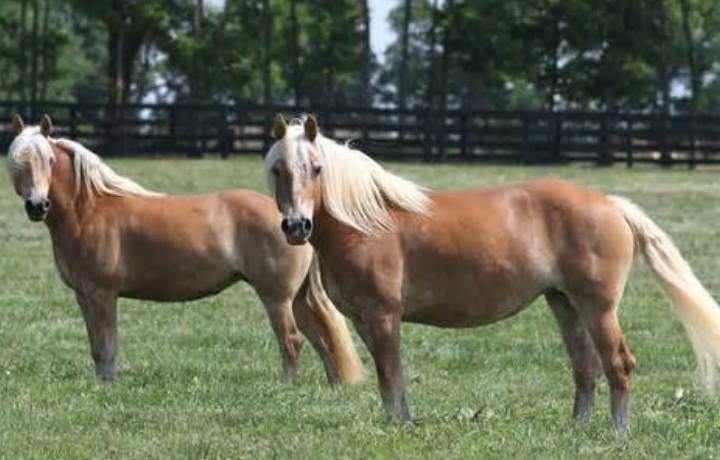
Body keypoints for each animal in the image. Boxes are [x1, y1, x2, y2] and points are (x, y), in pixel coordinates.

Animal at [6, 114, 364, 386]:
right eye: (17, 163)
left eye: (49, 160)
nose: (37, 205)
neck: (89, 210)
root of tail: (295, 219)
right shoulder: (84, 296)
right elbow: (97, 348)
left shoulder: (102, 295)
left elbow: (107, 348)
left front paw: (107, 388)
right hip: (298, 297)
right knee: (320, 337)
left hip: (277, 298)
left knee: (291, 340)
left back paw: (287, 387)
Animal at [264, 114, 720, 431]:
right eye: (277, 169)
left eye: (317, 168)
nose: (297, 226)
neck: (368, 221)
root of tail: (610, 204)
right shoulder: (365, 320)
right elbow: (392, 376)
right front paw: (405, 422)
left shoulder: (383, 315)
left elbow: (391, 376)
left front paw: (398, 426)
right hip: (565, 304)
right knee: (586, 368)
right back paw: (578, 428)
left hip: (599, 308)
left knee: (619, 364)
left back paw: (617, 432)